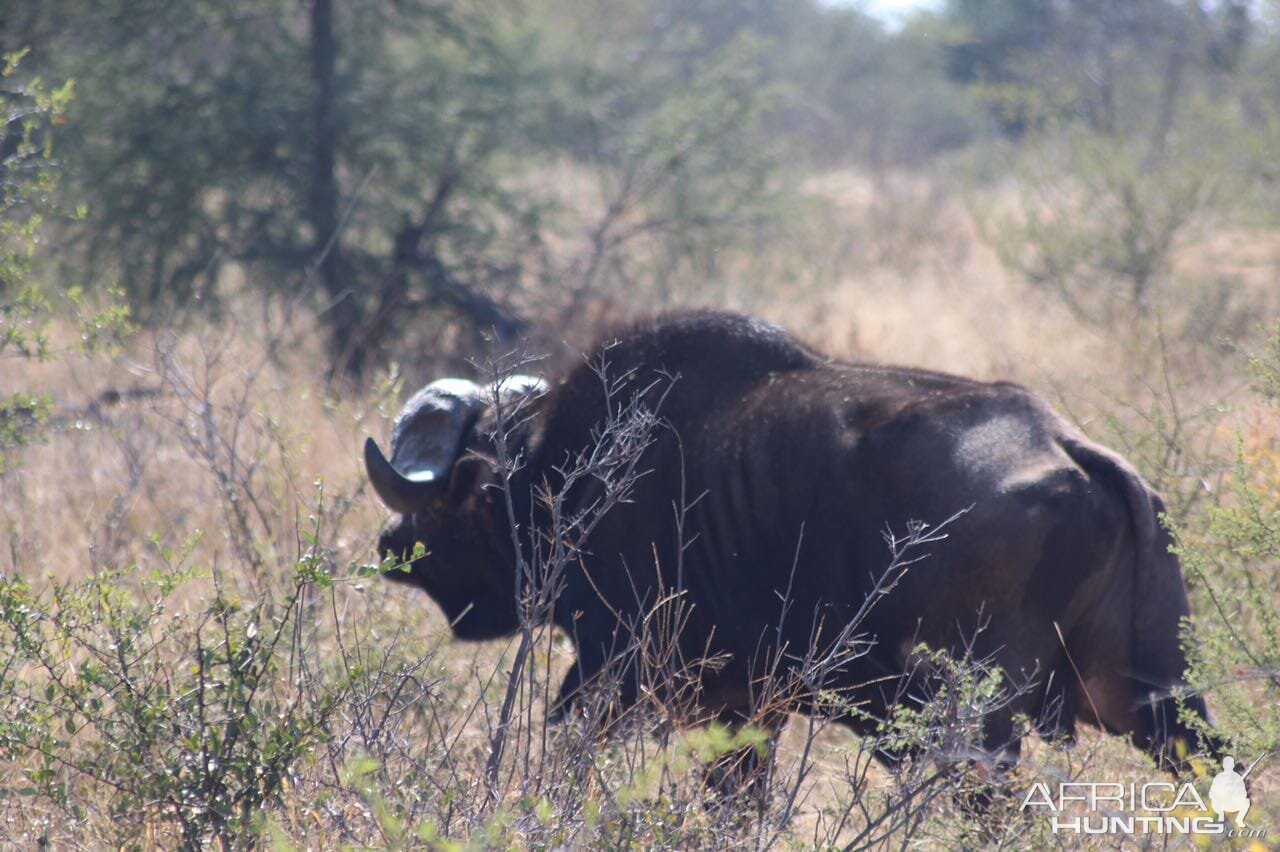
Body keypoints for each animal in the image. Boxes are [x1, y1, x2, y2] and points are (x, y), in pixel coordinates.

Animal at [366, 308, 1213, 772]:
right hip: (1162, 708)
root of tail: (1068, 448)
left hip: (973, 726)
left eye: (452, 506)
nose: (389, 543)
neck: (574, 481)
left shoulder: (620, 683)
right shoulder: (747, 715)